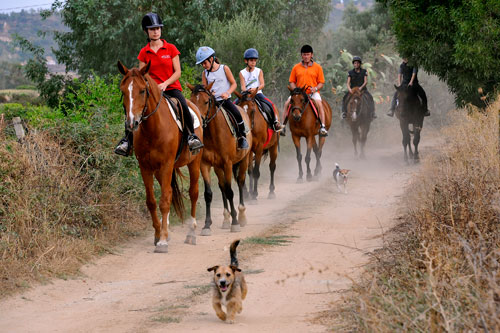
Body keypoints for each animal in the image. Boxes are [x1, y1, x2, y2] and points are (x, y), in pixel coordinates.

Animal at [117, 61, 203, 252]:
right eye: (123, 91)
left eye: (142, 90)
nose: (131, 123)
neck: (153, 128)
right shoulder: (145, 167)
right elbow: (152, 201)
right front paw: (159, 234)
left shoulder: (166, 164)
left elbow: (164, 200)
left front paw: (162, 241)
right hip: (159, 170)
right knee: (169, 193)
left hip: (194, 162)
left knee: (193, 193)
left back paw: (191, 234)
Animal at [188, 82, 252, 235]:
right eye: (192, 101)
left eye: (206, 101)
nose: (199, 120)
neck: (212, 134)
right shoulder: (205, 165)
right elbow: (209, 193)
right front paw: (206, 225)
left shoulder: (228, 164)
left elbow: (230, 191)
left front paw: (235, 222)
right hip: (218, 167)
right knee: (222, 186)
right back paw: (225, 219)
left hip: (244, 159)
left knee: (240, 182)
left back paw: (241, 216)